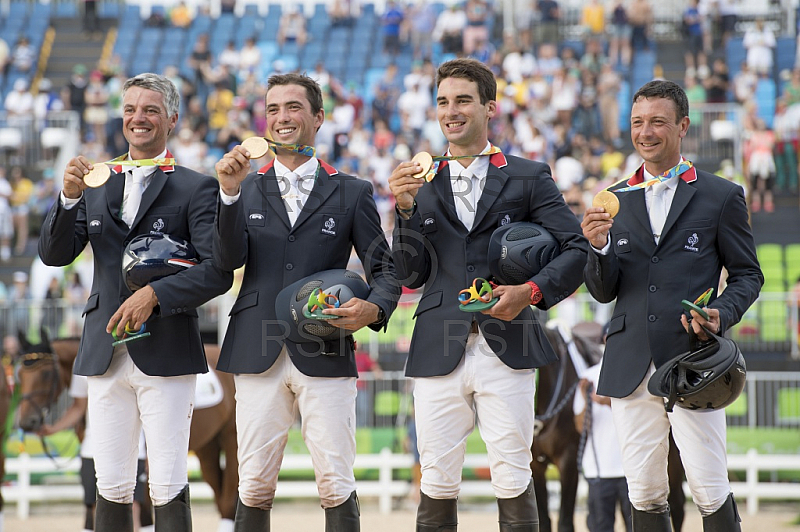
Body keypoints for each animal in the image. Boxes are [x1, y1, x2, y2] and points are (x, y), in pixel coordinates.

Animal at [13, 330, 238, 524]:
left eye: (46, 374)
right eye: (20, 376)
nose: (26, 422)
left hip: (230, 441)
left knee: (227, 502)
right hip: (207, 447)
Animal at [532, 322, 688, 532]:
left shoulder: (569, 460)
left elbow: (565, 522)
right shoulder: (534, 465)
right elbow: (543, 520)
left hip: (674, 457)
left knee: (677, 505)